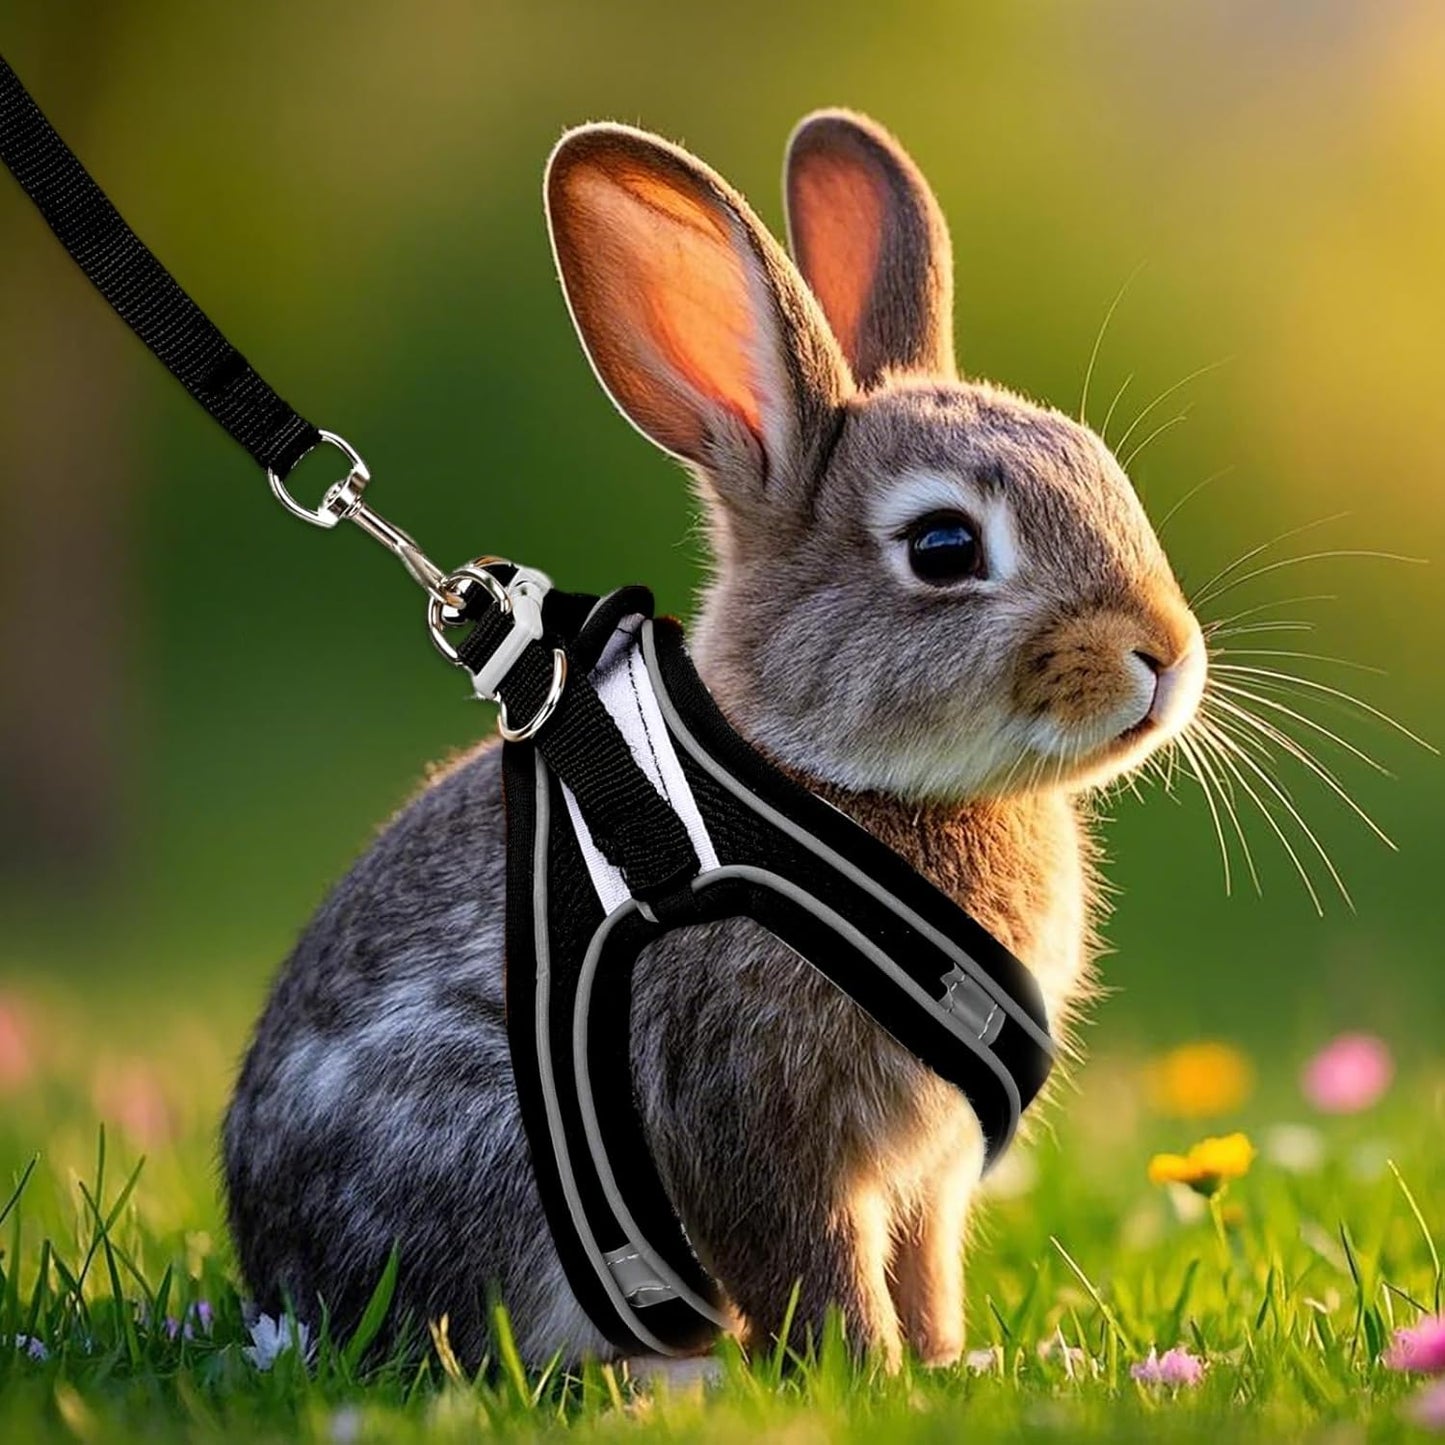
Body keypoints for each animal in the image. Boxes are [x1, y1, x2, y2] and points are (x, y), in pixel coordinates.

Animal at [223, 109, 1207, 1375]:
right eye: (942, 547)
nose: (1163, 652)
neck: (829, 781)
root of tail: (279, 1289)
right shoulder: (749, 1119)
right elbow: (812, 1263)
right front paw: (867, 1376)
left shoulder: (925, 1176)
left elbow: (921, 1264)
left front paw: (948, 1362)